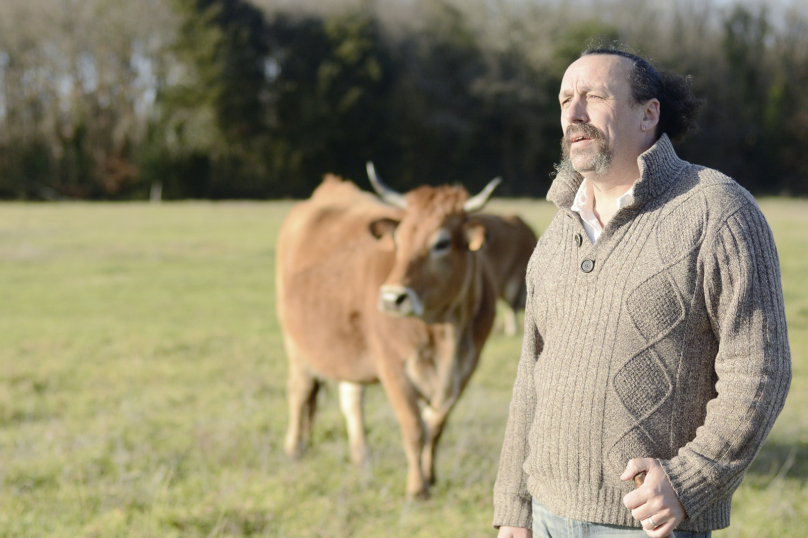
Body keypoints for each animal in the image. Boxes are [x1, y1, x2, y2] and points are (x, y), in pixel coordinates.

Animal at [280, 166, 502, 494]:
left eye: (441, 243)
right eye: (399, 241)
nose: (391, 298)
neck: (445, 331)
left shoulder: (464, 371)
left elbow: (436, 425)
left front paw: (431, 476)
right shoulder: (392, 366)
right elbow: (413, 427)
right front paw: (417, 488)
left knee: (351, 398)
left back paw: (361, 456)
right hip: (296, 344)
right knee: (300, 391)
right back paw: (294, 449)